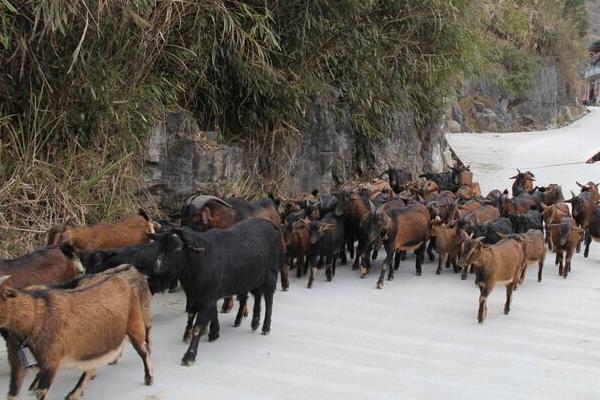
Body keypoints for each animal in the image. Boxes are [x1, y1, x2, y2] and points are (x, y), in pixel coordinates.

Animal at [0, 270, 154, 398]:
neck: (33, 317)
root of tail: (121, 279)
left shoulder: (51, 363)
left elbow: (41, 392)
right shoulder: (17, 362)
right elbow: (12, 393)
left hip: (135, 326)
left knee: (143, 349)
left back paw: (149, 377)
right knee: (93, 365)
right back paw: (75, 393)